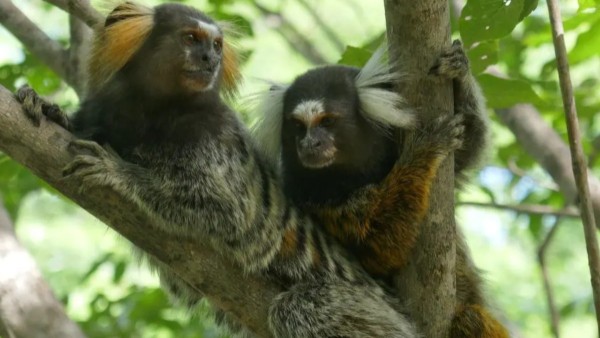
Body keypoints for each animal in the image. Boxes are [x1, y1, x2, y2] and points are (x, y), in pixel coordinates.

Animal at [251, 39, 508, 336]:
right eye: (297, 126)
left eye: (327, 121)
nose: (309, 144)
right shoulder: (312, 196)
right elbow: (380, 244)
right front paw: (425, 150)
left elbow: (468, 149)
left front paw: (459, 71)